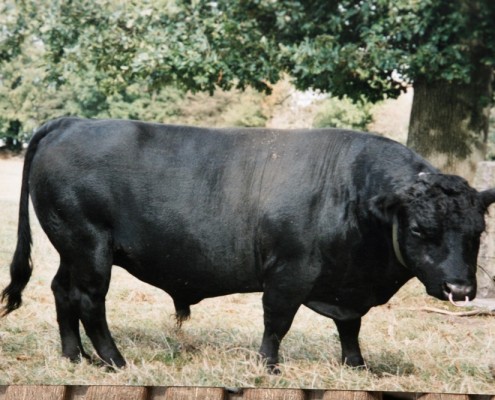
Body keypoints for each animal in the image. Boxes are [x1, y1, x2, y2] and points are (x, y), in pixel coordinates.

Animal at [0, 117, 495, 370]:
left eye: (477, 233)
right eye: (420, 231)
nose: (460, 289)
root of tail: (71, 121)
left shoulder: (347, 288)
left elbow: (350, 328)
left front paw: (356, 366)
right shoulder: (289, 274)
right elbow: (277, 323)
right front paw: (268, 366)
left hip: (71, 247)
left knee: (62, 292)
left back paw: (74, 357)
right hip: (90, 247)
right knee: (89, 301)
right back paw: (113, 359)